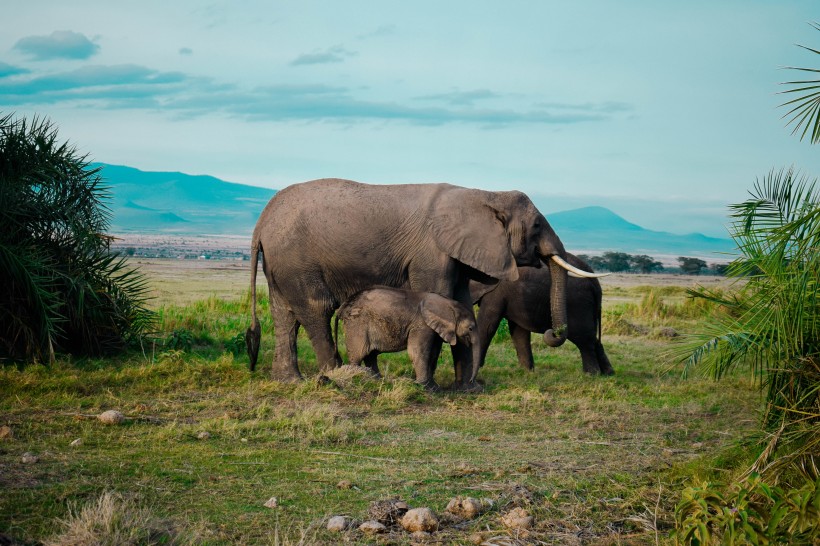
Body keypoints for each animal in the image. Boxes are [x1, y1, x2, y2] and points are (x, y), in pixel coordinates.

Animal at [336, 284, 484, 386]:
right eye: (470, 328)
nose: (471, 380)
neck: (449, 304)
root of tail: (343, 306)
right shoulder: (421, 324)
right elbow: (417, 351)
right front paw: (423, 386)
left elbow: (432, 352)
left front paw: (430, 385)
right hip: (357, 323)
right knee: (359, 353)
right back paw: (358, 375)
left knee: (371, 355)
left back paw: (378, 379)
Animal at [468, 252, 616, 372]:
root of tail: (596, 285)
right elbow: (518, 332)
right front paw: (526, 371)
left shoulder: (496, 293)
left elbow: (488, 326)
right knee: (593, 338)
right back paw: (608, 373)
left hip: (579, 304)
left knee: (584, 338)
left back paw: (591, 374)